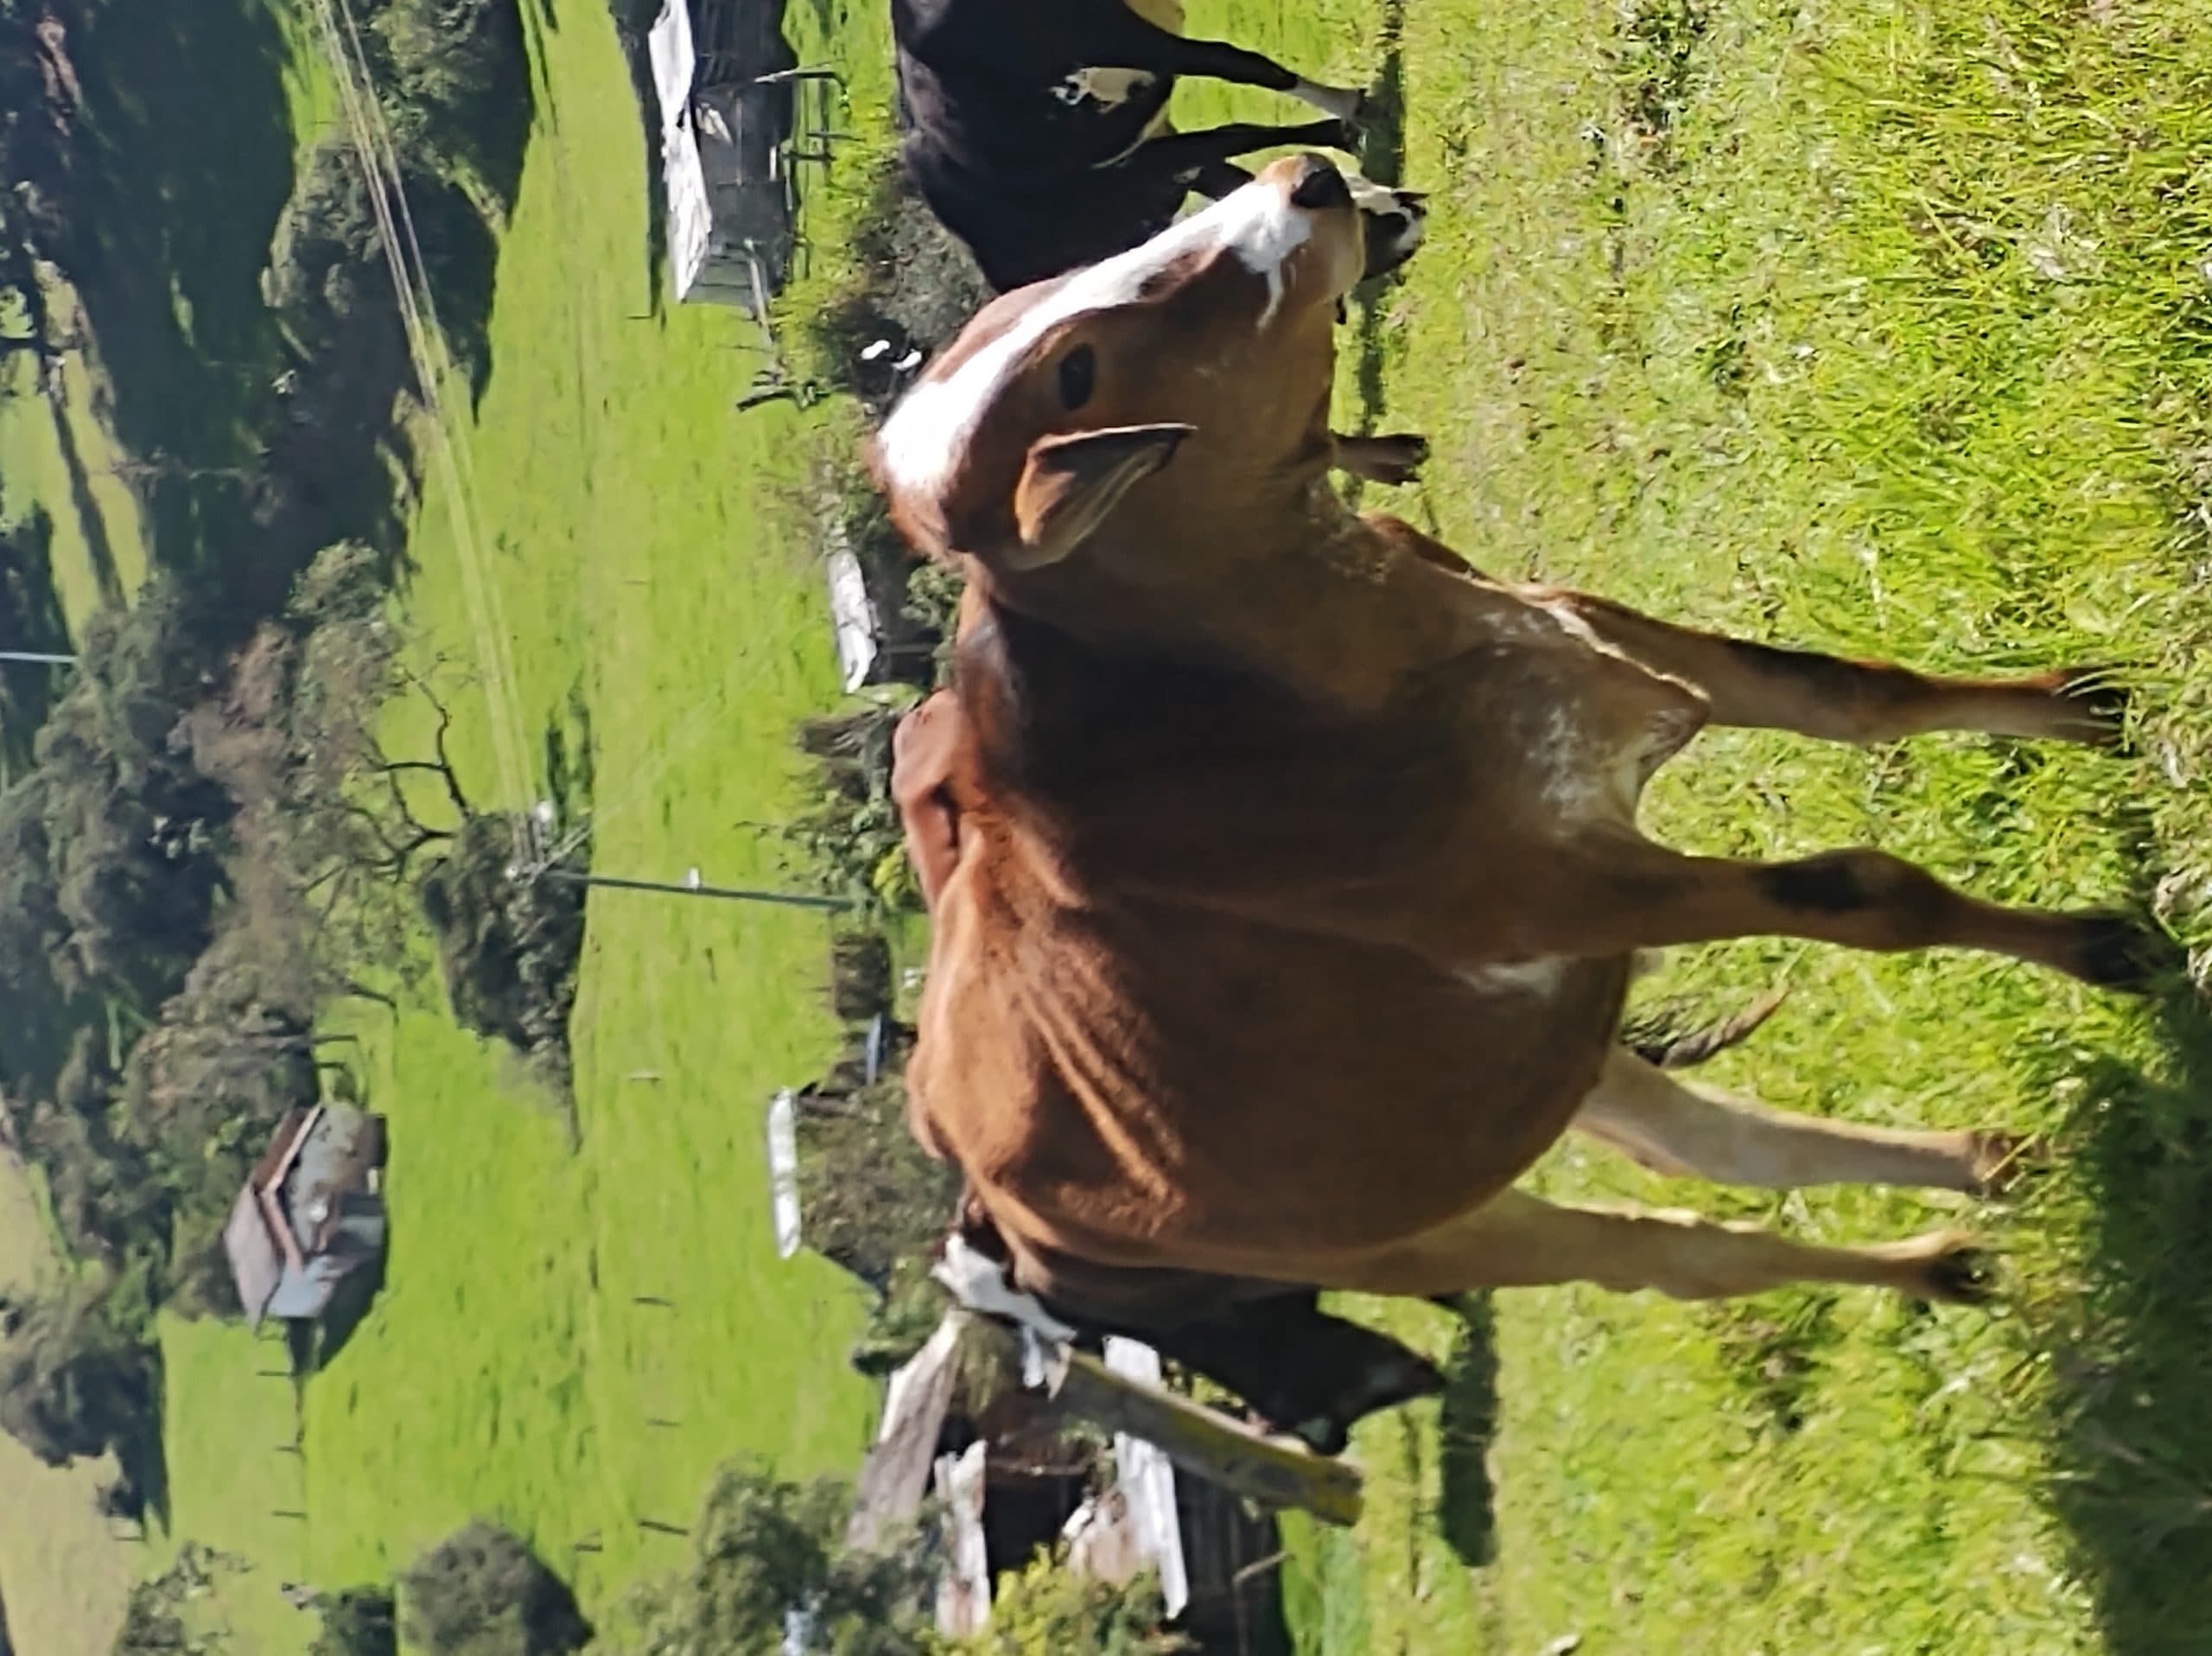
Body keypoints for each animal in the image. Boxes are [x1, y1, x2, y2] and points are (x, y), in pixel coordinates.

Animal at [864, 151, 2170, 1361]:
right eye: (1077, 370)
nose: (1309, 176)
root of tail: (999, 1225)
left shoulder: (1600, 645)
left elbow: (1851, 697)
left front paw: (2077, 709)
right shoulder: (1563, 893)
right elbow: (1865, 892)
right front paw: (2100, 946)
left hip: (1536, 1059)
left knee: (1711, 1144)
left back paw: (1989, 1177)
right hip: (1426, 1233)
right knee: (1675, 1254)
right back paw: (1930, 1257)